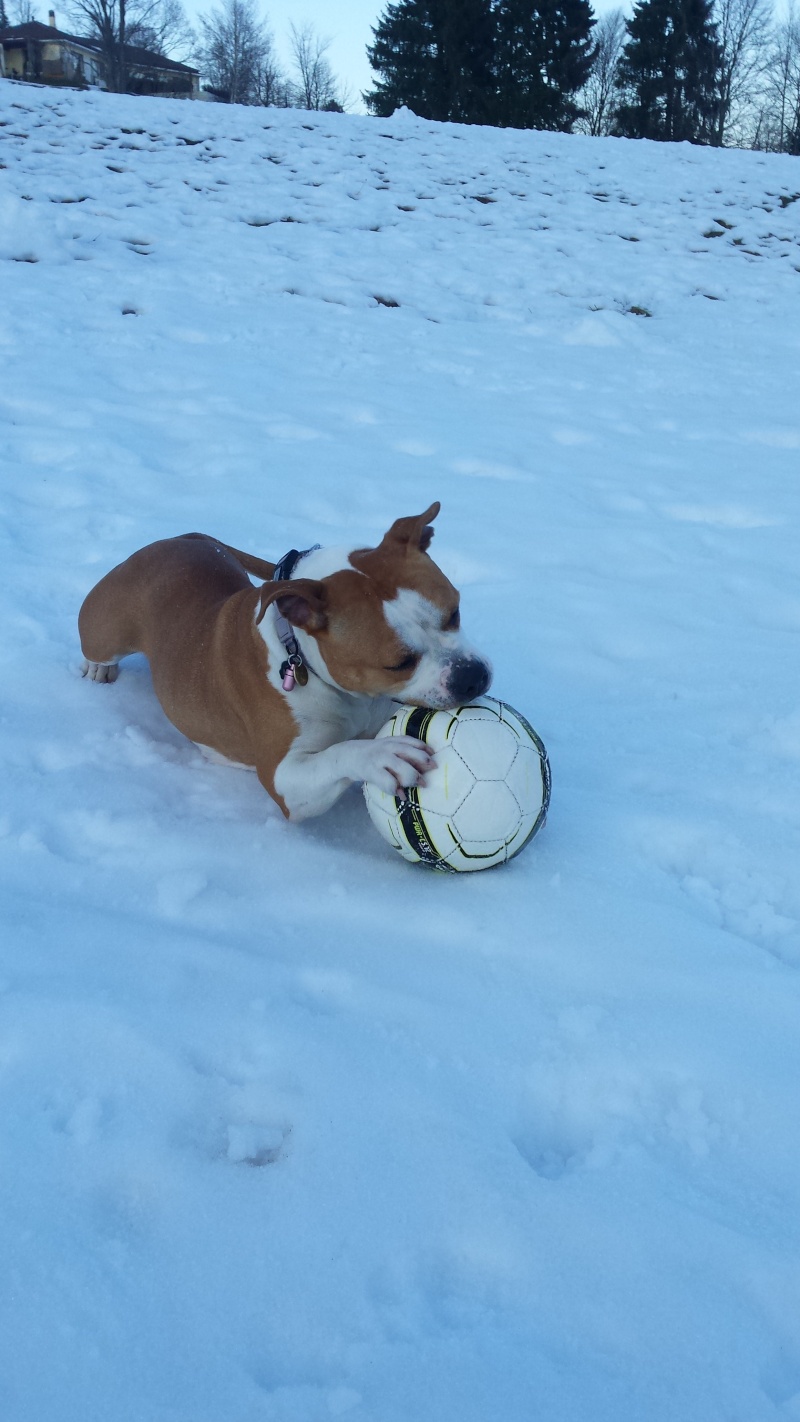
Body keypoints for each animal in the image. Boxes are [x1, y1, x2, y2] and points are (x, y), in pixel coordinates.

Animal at [81, 506, 494, 824]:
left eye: (454, 612)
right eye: (399, 663)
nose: (471, 677)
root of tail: (182, 538)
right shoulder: (285, 780)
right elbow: (338, 754)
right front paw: (380, 756)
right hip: (105, 630)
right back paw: (98, 668)